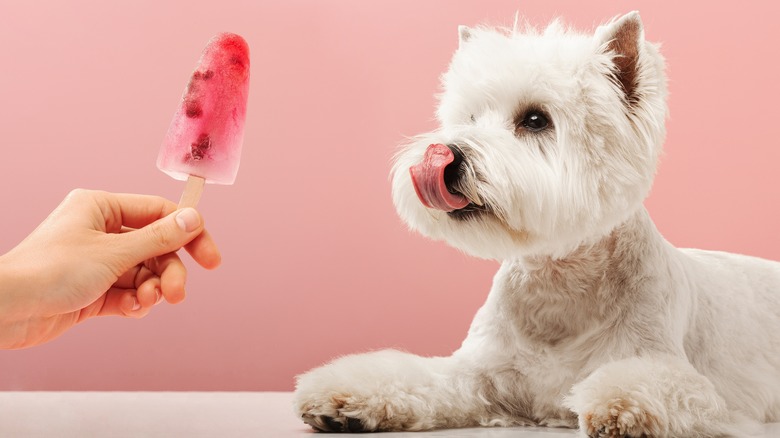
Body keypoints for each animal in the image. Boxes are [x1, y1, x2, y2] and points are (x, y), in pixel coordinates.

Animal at [292, 12, 780, 436]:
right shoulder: (477, 372)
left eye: (534, 119)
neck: (558, 286)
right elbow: (417, 375)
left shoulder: (674, 371)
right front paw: (340, 397)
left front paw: (619, 408)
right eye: (470, 116)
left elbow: (652, 385)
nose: (446, 155)